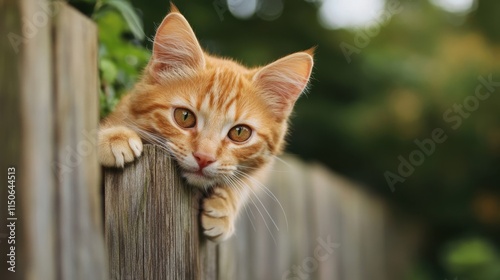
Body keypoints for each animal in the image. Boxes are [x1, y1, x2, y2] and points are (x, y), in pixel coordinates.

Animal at [98, 6, 312, 243]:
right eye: (184, 117)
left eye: (240, 132)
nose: (204, 158)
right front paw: (113, 136)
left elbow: (246, 180)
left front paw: (225, 205)